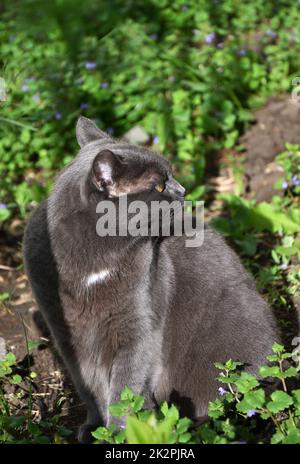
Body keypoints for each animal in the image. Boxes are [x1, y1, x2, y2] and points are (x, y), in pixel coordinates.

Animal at [23, 116, 278, 442]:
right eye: (158, 184)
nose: (183, 190)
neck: (93, 260)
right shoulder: (67, 335)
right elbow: (89, 386)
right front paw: (96, 428)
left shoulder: (138, 327)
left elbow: (125, 389)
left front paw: (123, 432)